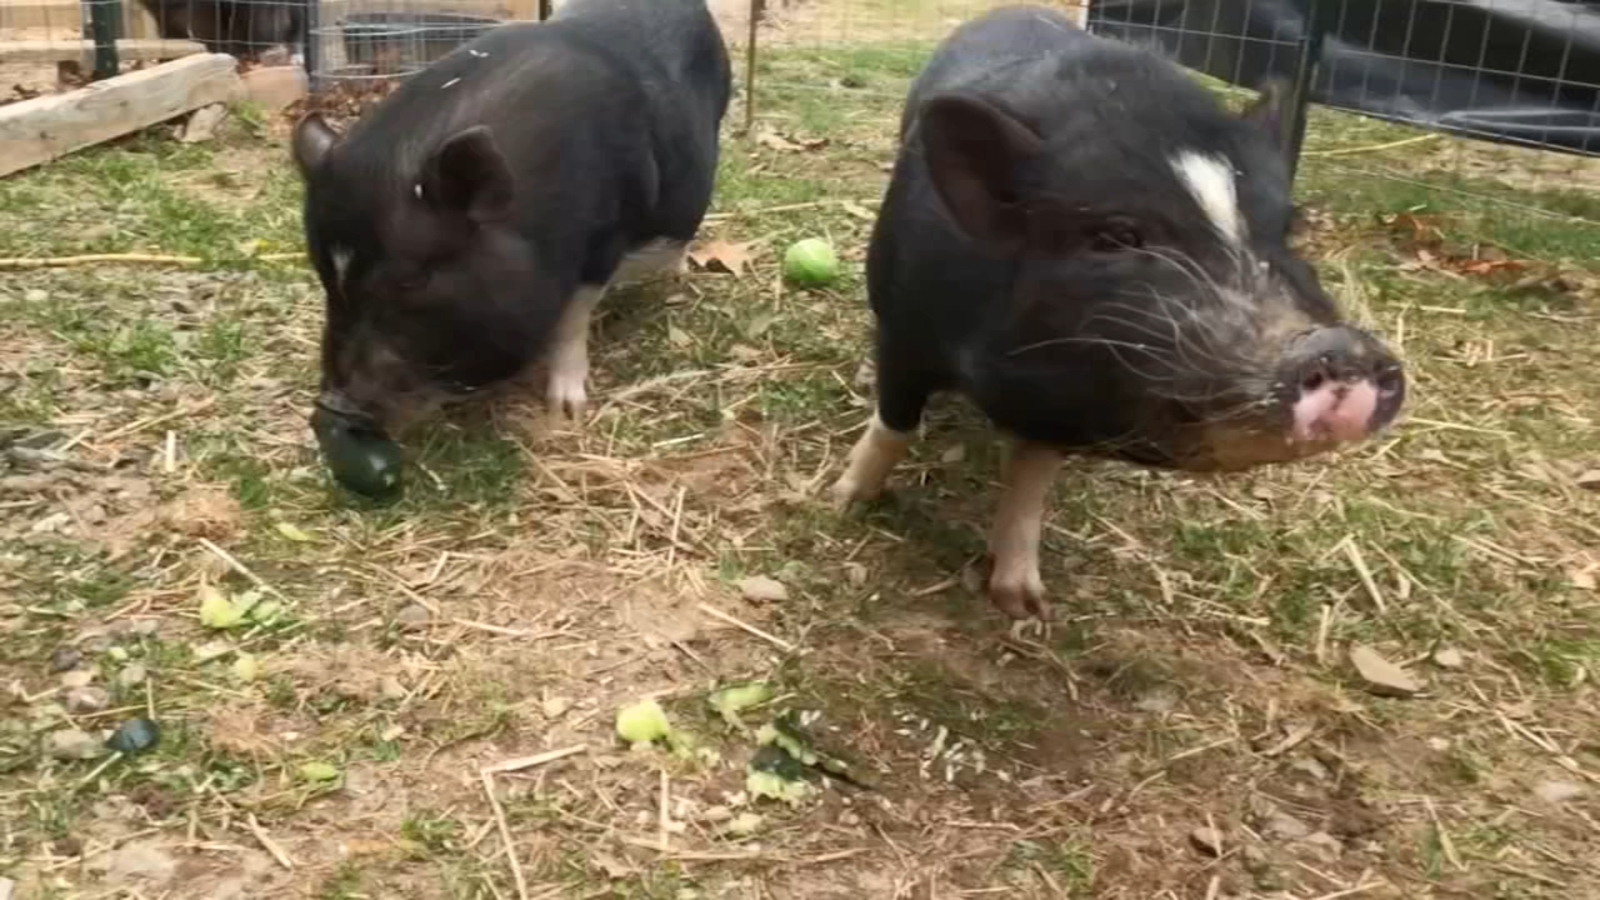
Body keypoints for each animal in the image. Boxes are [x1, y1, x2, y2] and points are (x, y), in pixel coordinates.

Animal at [290, 0, 732, 448]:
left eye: (412, 281)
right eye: (325, 277)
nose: (333, 405)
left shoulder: (609, 233)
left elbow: (572, 318)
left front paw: (566, 411)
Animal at [831, 6, 1406, 621]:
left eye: (1288, 230)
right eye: (1116, 236)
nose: (1340, 348)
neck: (1002, 379)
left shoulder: (1063, 408)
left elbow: (1031, 481)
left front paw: (1026, 607)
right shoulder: (901, 326)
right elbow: (894, 424)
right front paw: (842, 501)